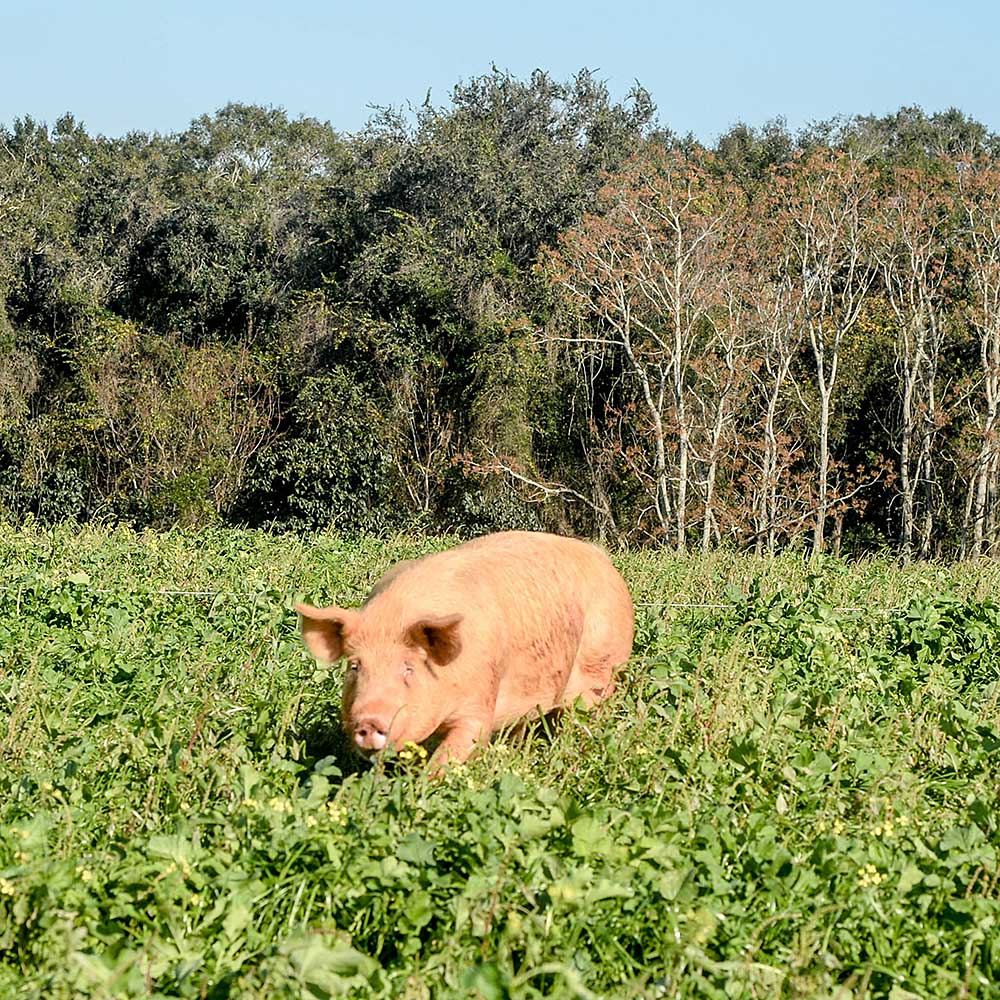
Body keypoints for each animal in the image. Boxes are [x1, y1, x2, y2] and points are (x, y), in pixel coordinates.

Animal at [292, 532, 632, 764]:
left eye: (408, 668)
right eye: (355, 666)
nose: (369, 720)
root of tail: (603, 559)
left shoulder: (480, 701)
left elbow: (458, 748)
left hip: (600, 666)